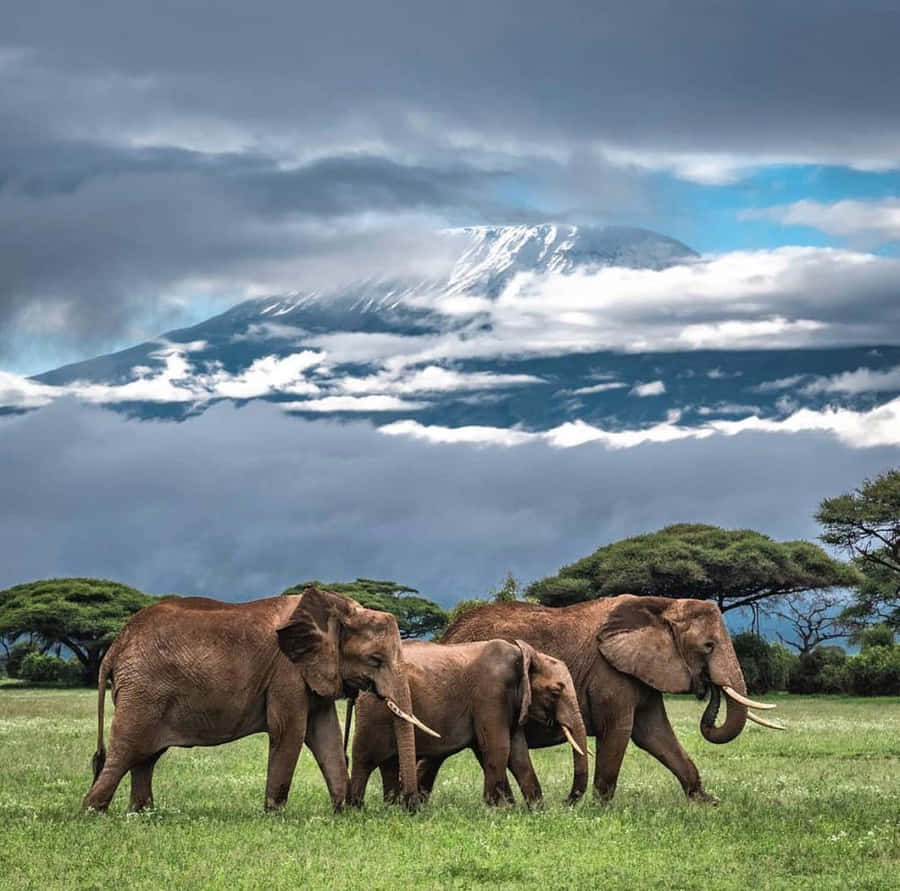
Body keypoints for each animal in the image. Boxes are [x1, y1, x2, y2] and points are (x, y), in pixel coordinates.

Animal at [82, 587, 436, 813]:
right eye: (375, 660)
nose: (411, 805)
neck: (335, 608)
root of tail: (114, 647)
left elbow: (326, 735)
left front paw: (343, 812)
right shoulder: (287, 671)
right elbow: (290, 732)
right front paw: (274, 814)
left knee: (146, 756)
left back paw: (142, 813)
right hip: (143, 693)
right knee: (126, 751)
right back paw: (93, 812)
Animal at [347, 638, 589, 807]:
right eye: (555, 691)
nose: (564, 803)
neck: (523, 655)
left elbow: (519, 754)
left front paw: (536, 810)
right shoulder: (490, 693)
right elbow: (499, 747)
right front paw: (496, 810)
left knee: (389, 762)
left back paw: (393, 808)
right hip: (372, 711)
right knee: (365, 759)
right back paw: (357, 809)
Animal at [442, 595, 782, 803]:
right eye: (708, 646)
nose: (708, 687)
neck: (664, 606)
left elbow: (655, 734)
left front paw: (707, 802)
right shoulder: (609, 673)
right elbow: (619, 731)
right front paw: (599, 808)